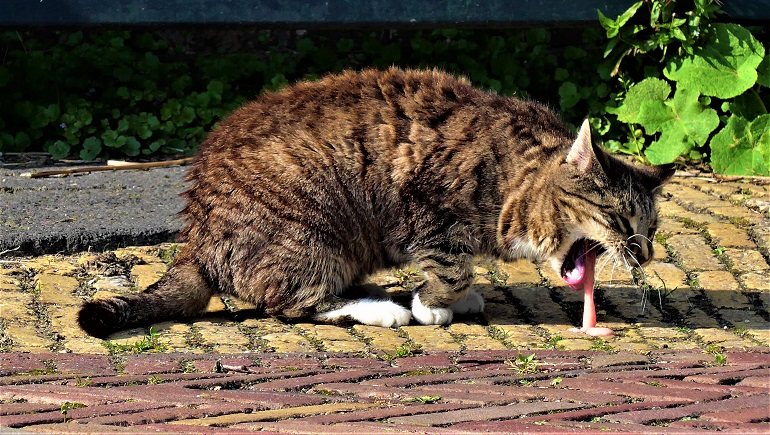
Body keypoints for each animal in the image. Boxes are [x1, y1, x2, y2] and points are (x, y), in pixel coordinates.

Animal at [79, 69, 672, 340]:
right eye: (623, 221)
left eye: (652, 230)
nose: (642, 254)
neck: (513, 181)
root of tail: (196, 239)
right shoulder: (424, 206)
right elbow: (451, 265)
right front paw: (433, 304)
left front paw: (453, 298)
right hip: (312, 233)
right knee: (291, 303)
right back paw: (381, 307)